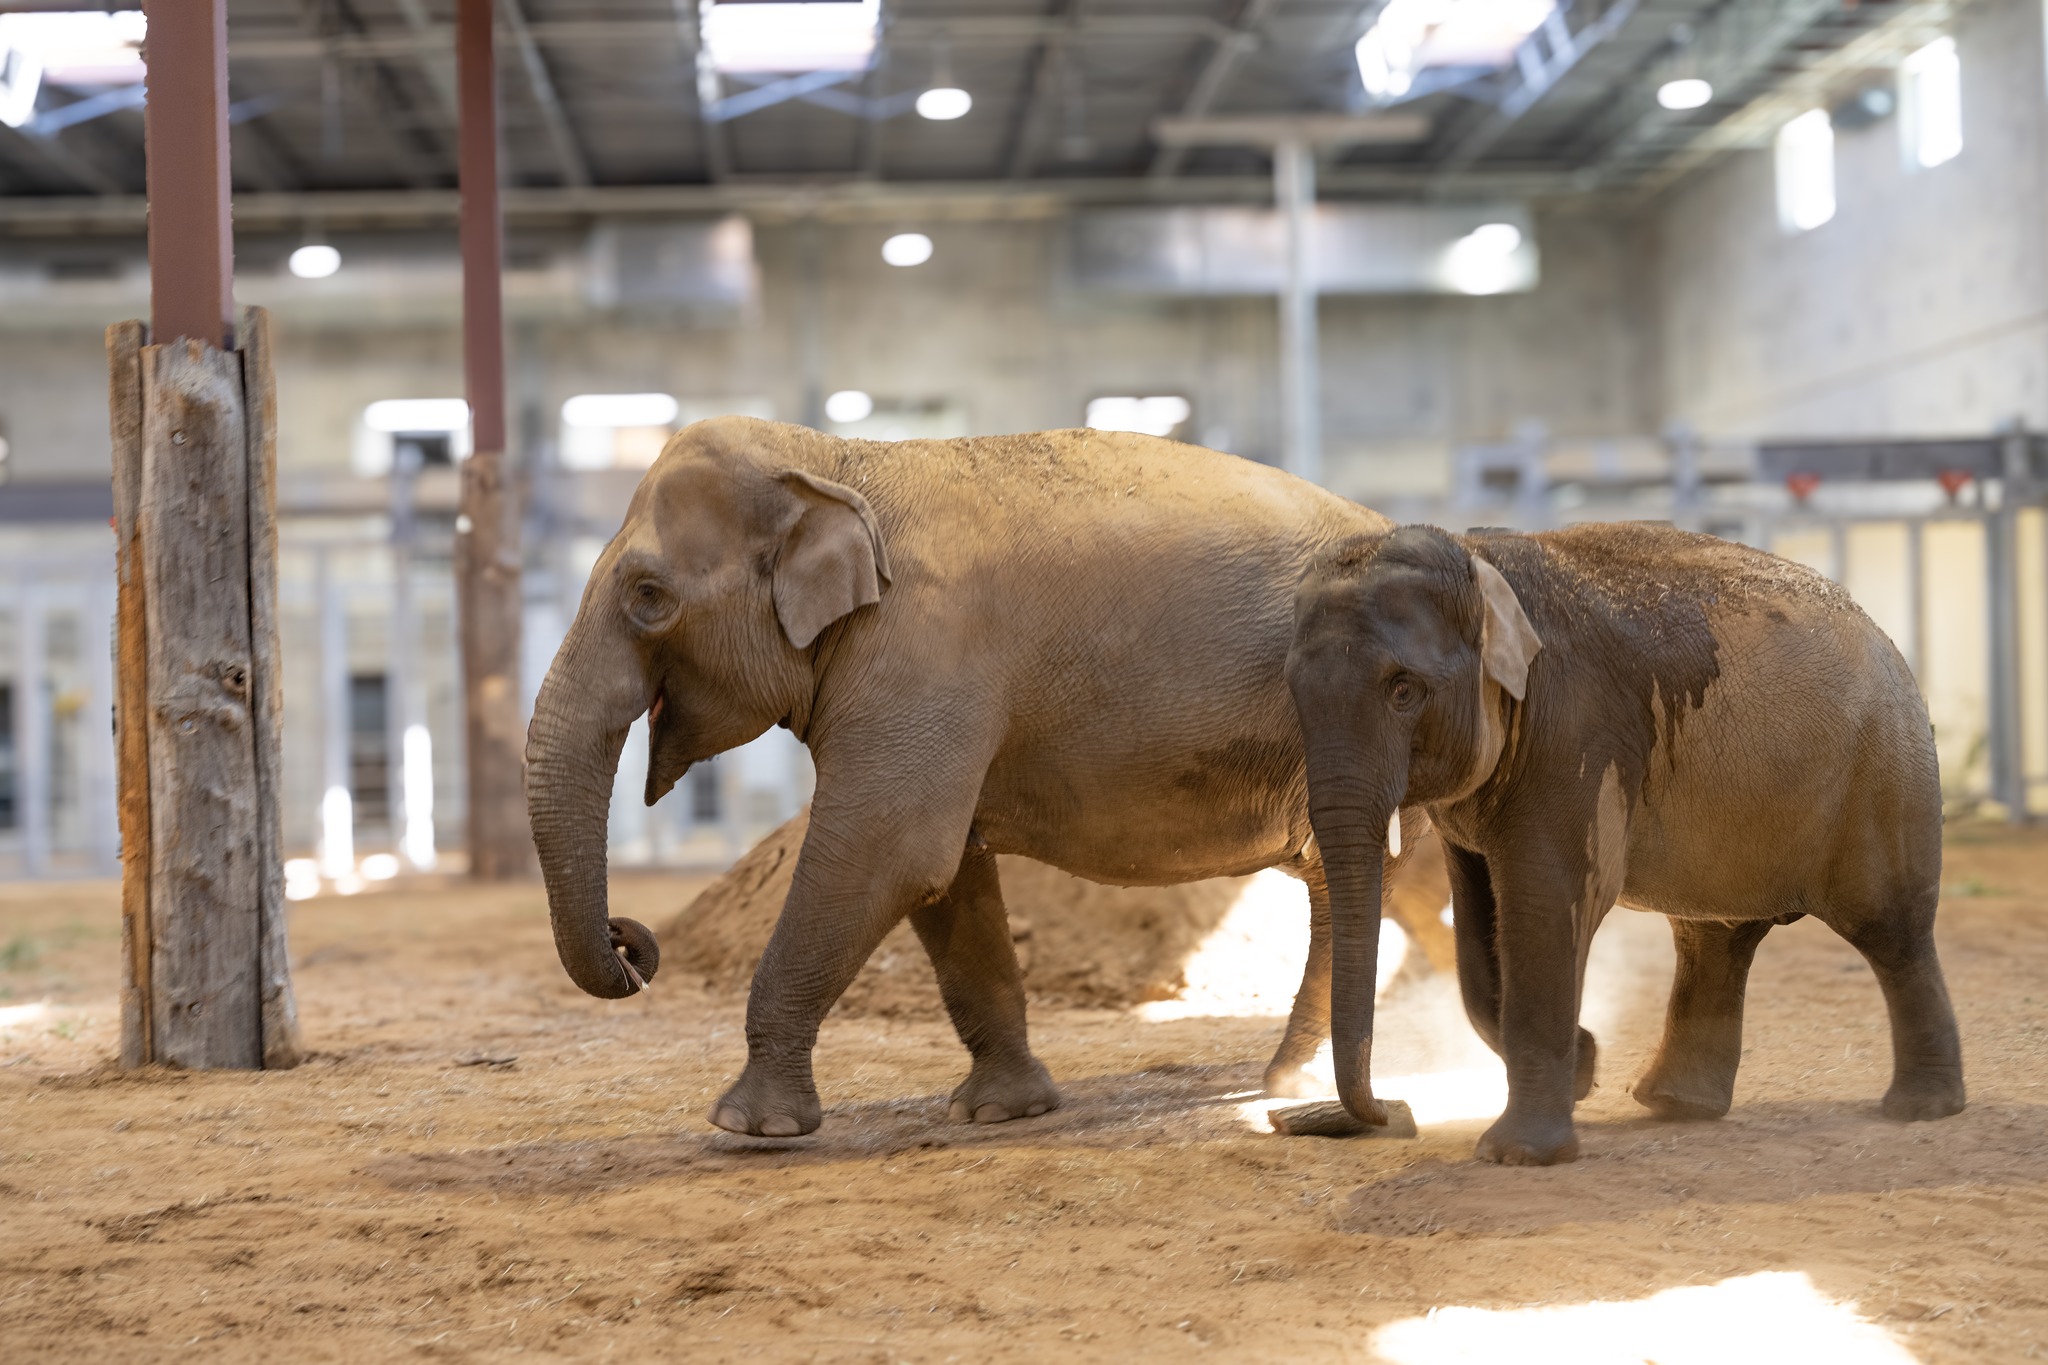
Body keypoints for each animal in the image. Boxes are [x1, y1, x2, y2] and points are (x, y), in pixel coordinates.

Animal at [528, 417, 1425, 1146]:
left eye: (648, 595)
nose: (631, 941)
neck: (835, 459)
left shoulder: (925, 654)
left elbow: (889, 850)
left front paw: (747, 1125)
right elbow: (948, 874)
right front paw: (1002, 1109)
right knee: (1341, 880)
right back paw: (1289, 1080)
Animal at [1277, 523, 1966, 1162]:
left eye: (1403, 690)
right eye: (1294, 693)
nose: (1393, 1114)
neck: (1482, 564)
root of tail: (1886, 637)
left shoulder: (1575, 725)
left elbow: (1549, 899)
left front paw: (1519, 1153)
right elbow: (1477, 924)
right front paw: (1582, 1065)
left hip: (1884, 770)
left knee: (1890, 931)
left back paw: (1920, 1109)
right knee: (1714, 940)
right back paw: (1674, 1105)